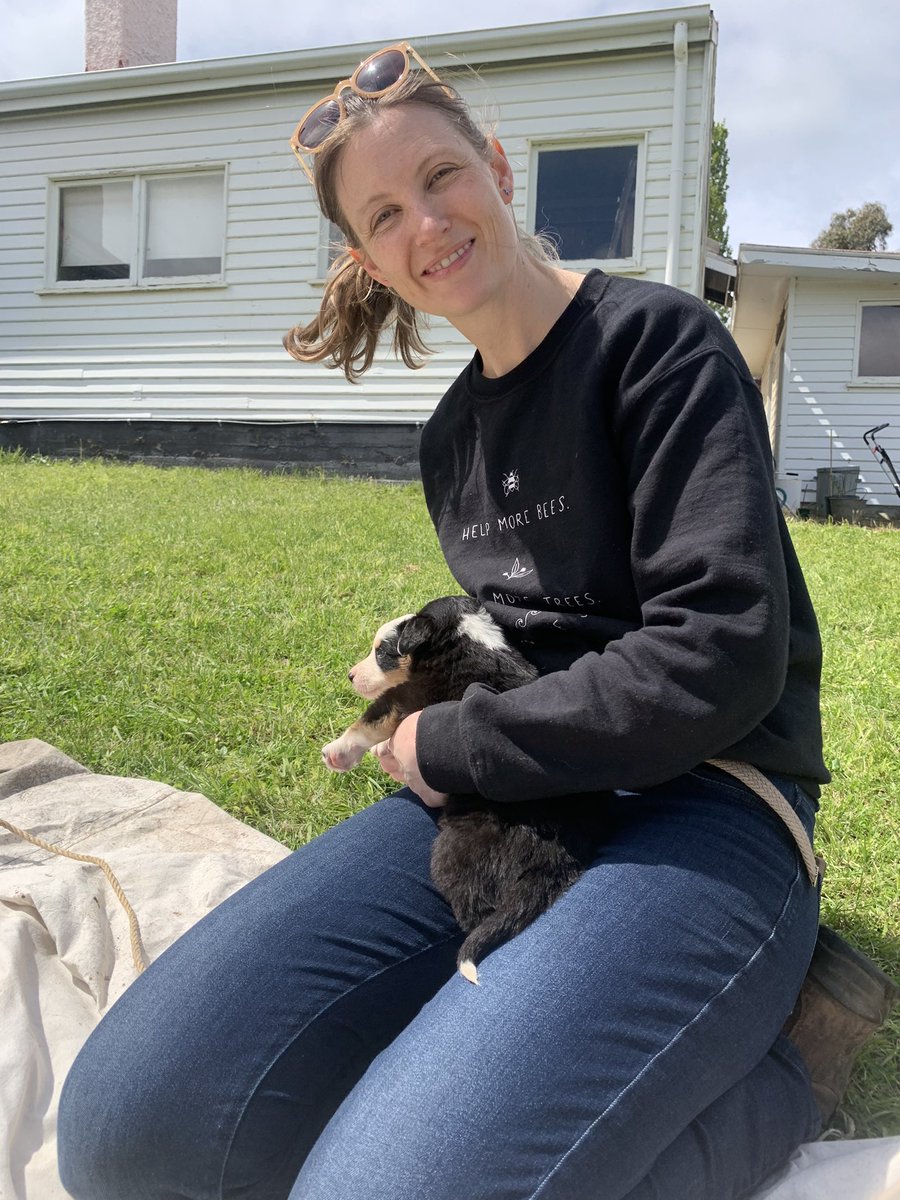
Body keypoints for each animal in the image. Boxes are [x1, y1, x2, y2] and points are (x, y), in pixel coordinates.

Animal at [321, 597, 600, 984]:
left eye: (381, 652)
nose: (349, 674)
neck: (466, 641)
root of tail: (556, 860)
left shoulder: (407, 696)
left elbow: (371, 719)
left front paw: (337, 751)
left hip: (455, 854)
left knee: (474, 912)